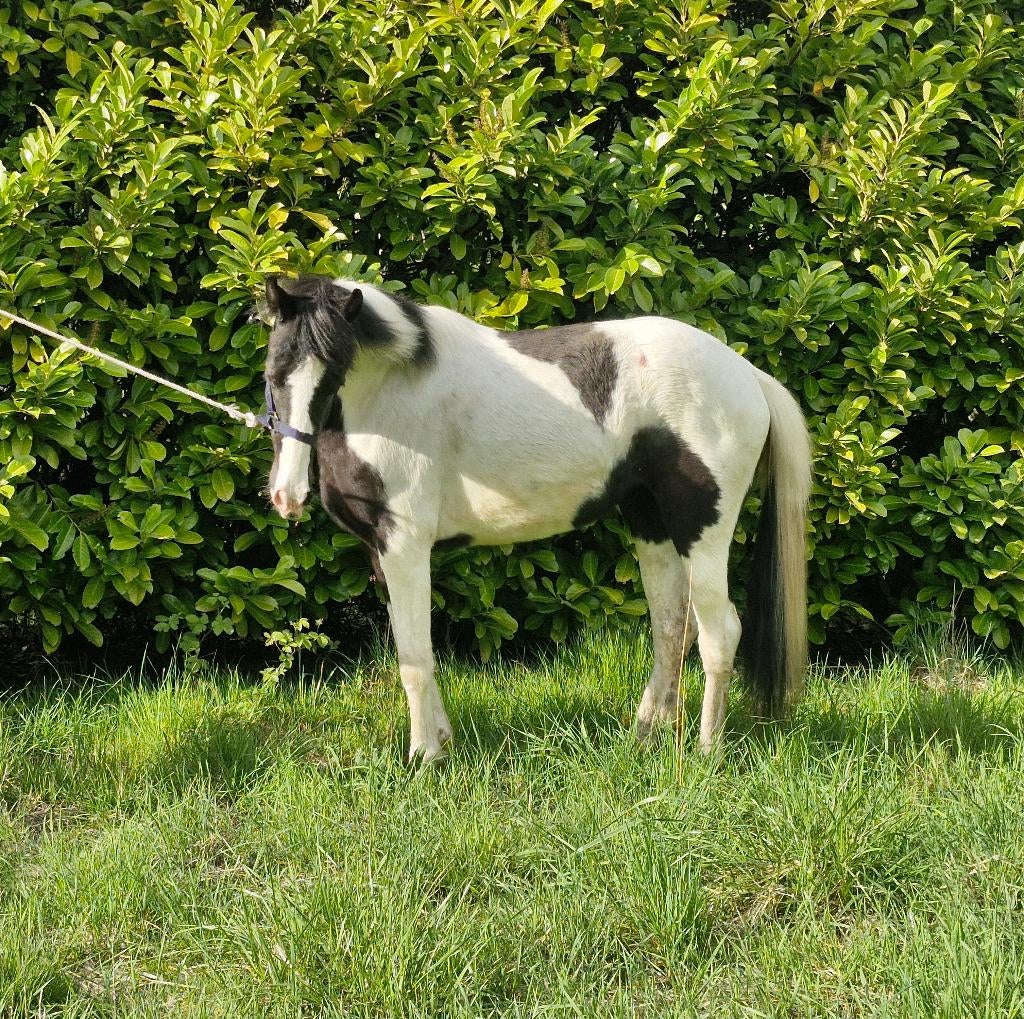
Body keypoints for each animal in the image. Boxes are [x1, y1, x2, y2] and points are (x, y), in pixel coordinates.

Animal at [260, 274, 812, 763]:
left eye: (333, 372)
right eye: (273, 374)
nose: (288, 495)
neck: (391, 391)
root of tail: (746, 374)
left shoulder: (405, 547)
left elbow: (415, 657)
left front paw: (424, 756)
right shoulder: (383, 552)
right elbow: (413, 647)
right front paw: (441, 742)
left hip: (702, 531)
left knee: (720, 633)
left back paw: (705, 752)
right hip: (650, 522)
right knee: (673, 625)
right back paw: (648, 734)